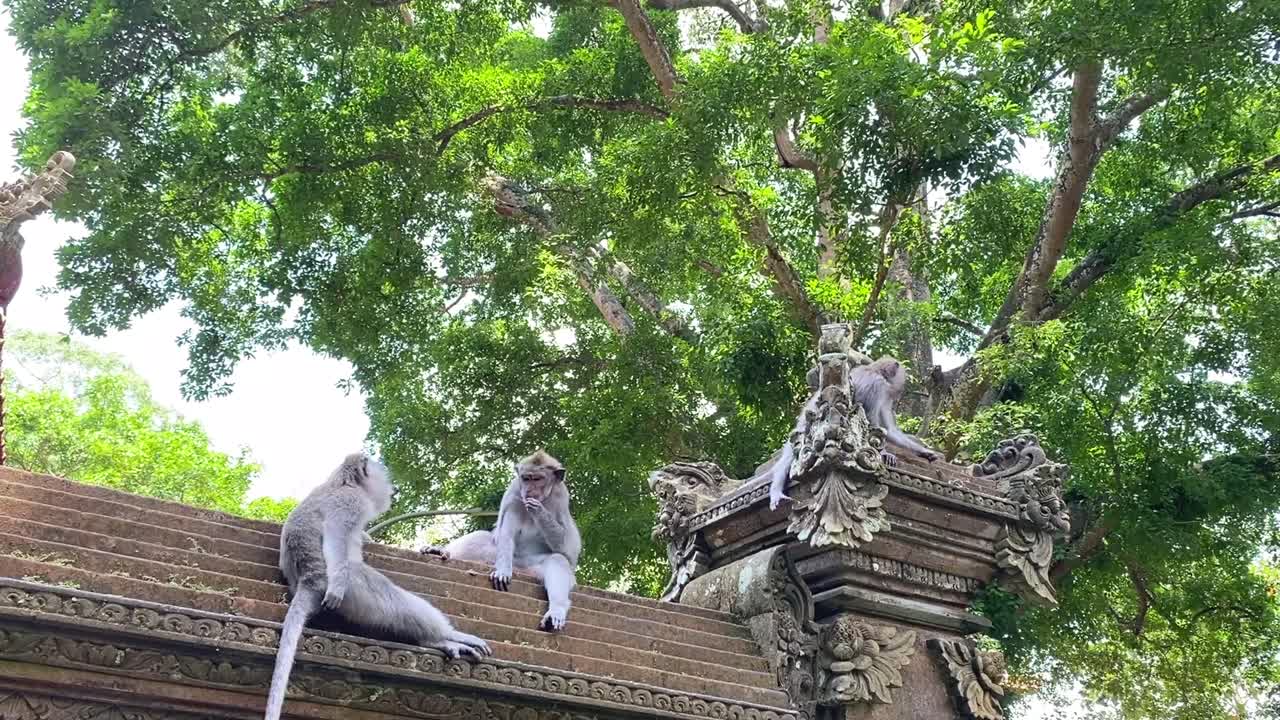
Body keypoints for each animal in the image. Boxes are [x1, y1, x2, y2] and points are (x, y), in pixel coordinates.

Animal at [265, 453, 490, 720]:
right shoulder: (353, 502)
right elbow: (337, 537)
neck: (342, 482)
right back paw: (443, 638)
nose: (392, 487)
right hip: (357, 587)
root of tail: (308, 580)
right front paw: (336, 585)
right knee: (396, 602)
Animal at [422, 450, 581, 632]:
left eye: (538, 479)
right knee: (482, 538)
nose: (529, 489)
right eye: (526, 478)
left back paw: (556, 610)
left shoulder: (561, 497)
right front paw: (503, 571)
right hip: (496, 558)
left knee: (557, 560)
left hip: (532, 569)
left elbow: (566, 550)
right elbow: (506, 533)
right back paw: (441, 551)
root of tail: (519, 568)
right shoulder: (514, 492)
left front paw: (538, 510)